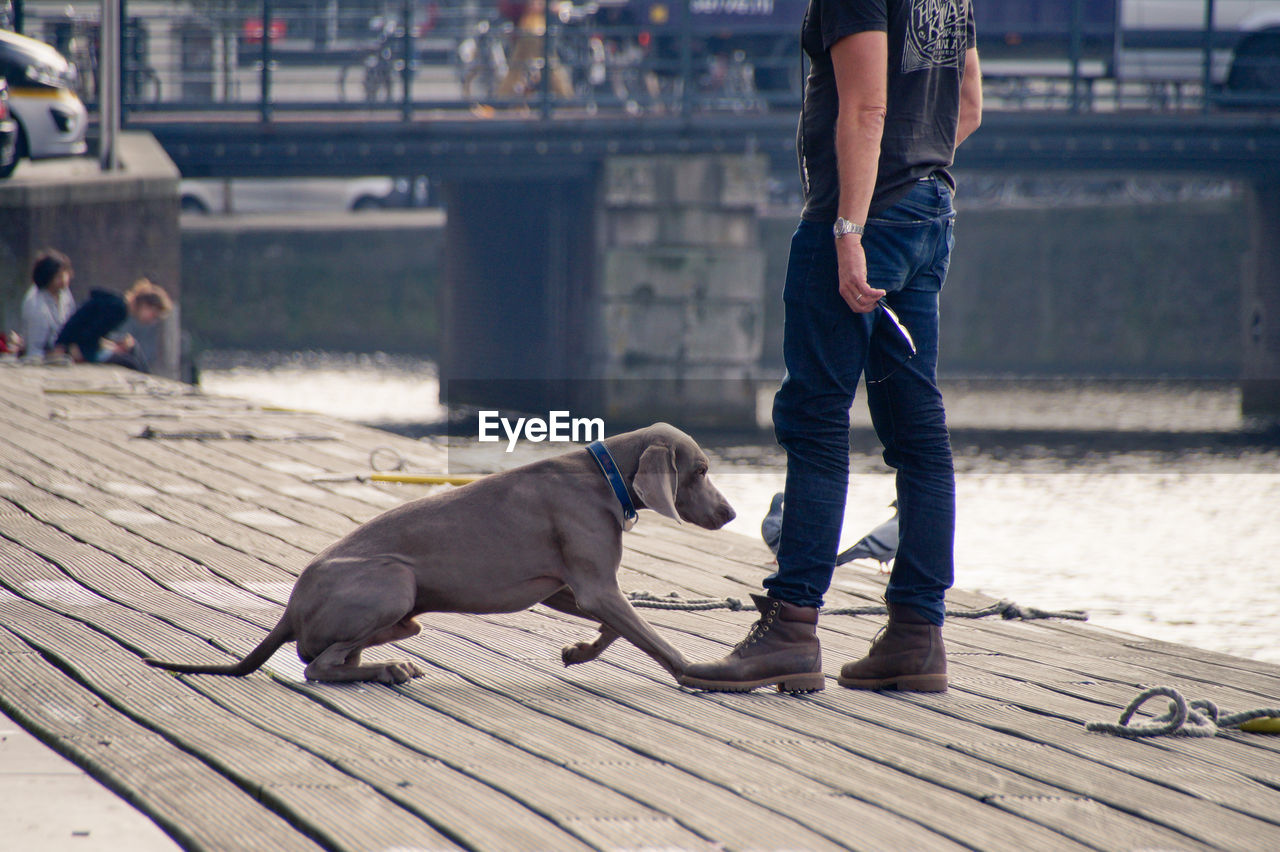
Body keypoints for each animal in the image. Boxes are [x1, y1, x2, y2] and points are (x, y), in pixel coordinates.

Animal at [145, 422, 737, 685]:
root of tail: (290, 608)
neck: (604, 476)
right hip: (392, 581)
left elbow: (617, 626)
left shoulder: (567, 588)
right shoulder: (594, 585)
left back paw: (384, 663)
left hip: (406, 613)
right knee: (318, 666)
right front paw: (697, 672)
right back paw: (388, 669)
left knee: (334, 655)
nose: (732, 513)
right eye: (703, 470)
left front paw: (578, 652)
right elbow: (650, 634)